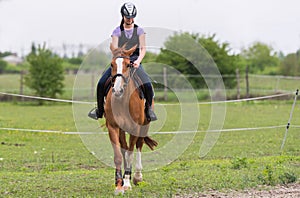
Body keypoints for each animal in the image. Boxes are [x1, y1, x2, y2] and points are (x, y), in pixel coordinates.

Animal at [105, 44, 158, 194]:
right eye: (112, 64)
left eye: (128, 64)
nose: (117, 90)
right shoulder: (113, 127)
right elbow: (119, 155)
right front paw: (119, 184)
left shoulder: (135, 128)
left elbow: (130, 154)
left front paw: (127, 183)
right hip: (122, 129)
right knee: (124, 148)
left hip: (144, 125)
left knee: (138, 145)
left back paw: (137, 177)